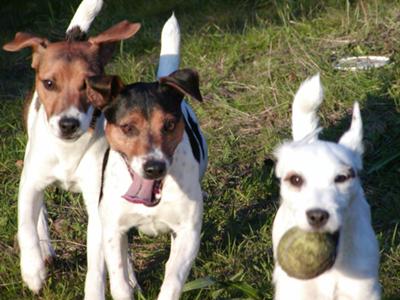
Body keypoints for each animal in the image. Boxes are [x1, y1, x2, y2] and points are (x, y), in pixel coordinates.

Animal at [3, 1, 140, 298]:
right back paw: (44, 249)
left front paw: (97, 290)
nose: (68, 123)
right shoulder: (29, 183)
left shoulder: (97, 202)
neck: (68, 150)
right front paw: (32, 271)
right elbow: (25, 224)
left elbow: (97, 263)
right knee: (39, 212)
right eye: (49, 83)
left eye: (88, 85)